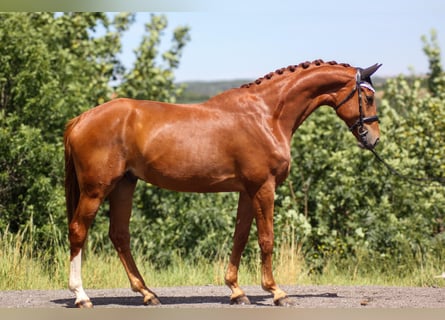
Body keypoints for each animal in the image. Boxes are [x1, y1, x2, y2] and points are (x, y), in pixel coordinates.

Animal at [64, 60, 380, 308]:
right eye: (367, 96)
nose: (374, 139)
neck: (266, 115)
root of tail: (80, 119)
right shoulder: (264, 188)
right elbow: (266, 239)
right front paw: (276, 292)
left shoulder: (247, 191)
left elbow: (240, 237)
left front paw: (236, 291)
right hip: (96, 189)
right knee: (79, 230)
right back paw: (81, 296)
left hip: (124, 185)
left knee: (119, 236)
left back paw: (147, 293)